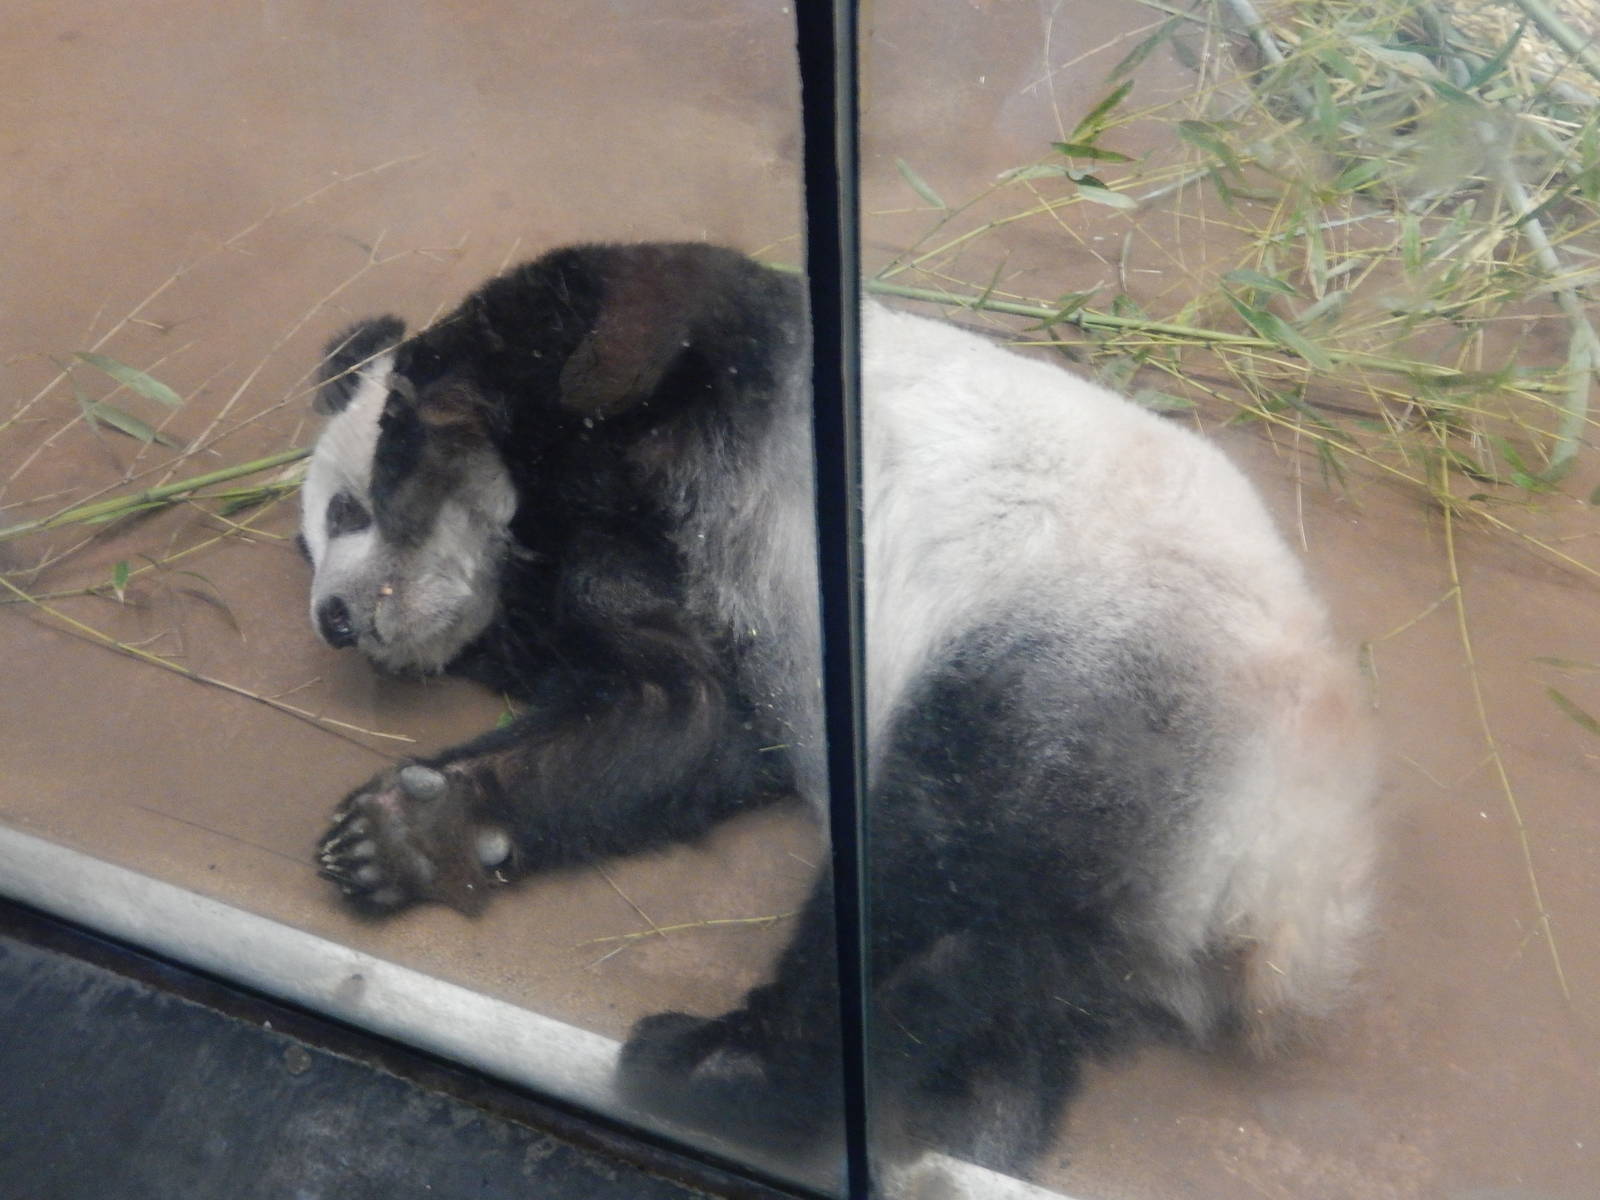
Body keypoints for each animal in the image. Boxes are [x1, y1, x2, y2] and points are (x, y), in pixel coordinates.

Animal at [303, 242, 1375, 1174]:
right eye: (312, 543)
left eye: (346, 514)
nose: (334, 620)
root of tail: (1285, 892)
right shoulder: (666, 610)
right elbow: (672, 718)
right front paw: (410, 833)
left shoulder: (717, 351)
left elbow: (609, 312)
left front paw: (422, 427)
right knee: (999, 967)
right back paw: (945, 1116)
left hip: (1094, 675)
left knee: (932, 864)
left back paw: (717, 1070)